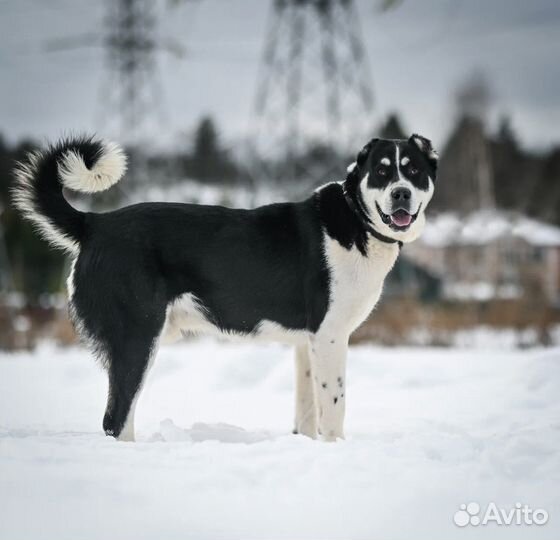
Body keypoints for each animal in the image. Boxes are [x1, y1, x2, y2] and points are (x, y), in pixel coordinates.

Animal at [10, 133, 436, 440]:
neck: (355, 218)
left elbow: (306, 414)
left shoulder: (307, 343)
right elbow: (334, 409)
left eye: (413, 171)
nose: (401, 193)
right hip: (137, 338)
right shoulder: (330, 336)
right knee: (115, 419)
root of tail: (94, 224)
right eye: (381, 172)